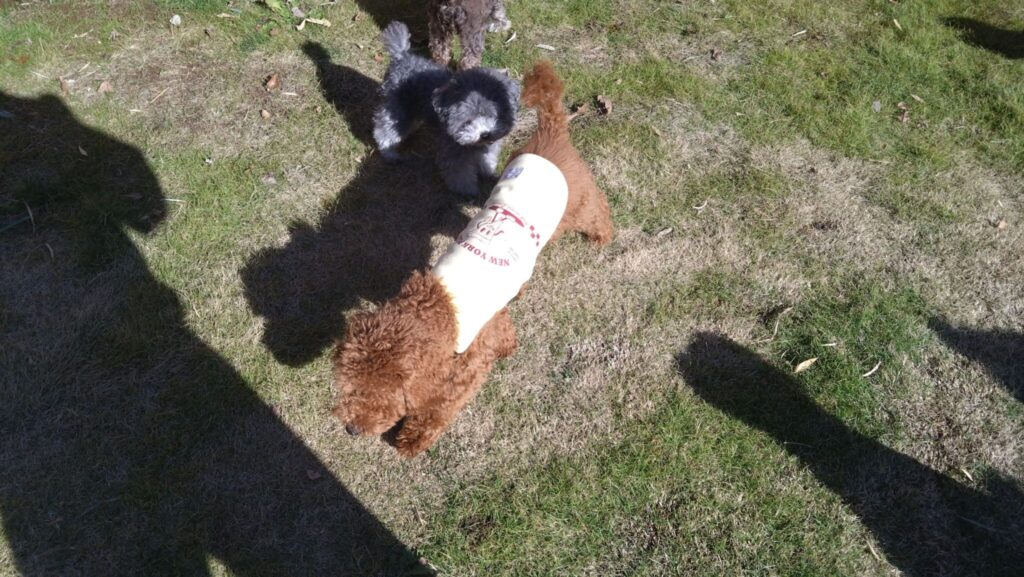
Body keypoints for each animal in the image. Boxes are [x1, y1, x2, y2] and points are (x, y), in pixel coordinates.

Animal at [334, 61, 613, 457]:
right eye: (347, 383)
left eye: (386, 393)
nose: (351, 429)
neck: (438, 309)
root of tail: (550, 134)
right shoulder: (491, 322)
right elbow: (505, 331)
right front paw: (510, 346)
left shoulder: (469, 361)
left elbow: (442, 405)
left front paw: (412, 440)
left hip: (580, 206)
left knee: (598, 211)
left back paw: (604, 236)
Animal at [373, 21, 519, 198]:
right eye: (467, 120)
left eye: (495, 115)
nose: (485, 134)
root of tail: (401, 55)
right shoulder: (453, 152)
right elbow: (460, 174)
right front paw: (467, 192)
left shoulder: (489, 146)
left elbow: (487, 159)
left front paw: (488, 172)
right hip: (397, 109)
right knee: (385, 130)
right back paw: (390, 154)